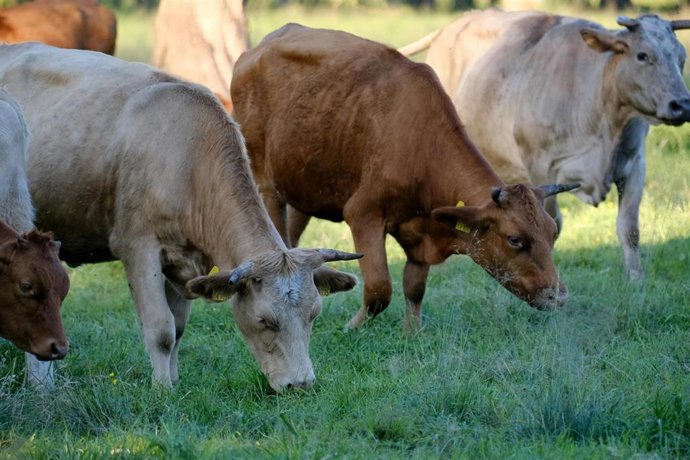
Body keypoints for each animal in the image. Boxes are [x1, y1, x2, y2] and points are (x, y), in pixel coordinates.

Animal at [0, 42, 361, 392]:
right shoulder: (137, 248)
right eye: (264, 320)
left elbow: (179, 329)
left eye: (313, 314)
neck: (186, 157)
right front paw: (162, 391)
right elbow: (161, 329)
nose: (301, 385)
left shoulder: (187, 263)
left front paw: (173, 382)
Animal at [231, 23, 578, 331]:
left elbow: (414, 287)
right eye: (515, 240)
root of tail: (257, 50)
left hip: (304, 186)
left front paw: (412, 332)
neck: (422, 145)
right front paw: (351, 327)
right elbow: (379, 290)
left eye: (552, 232)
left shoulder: (420, 234)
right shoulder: (363, 213)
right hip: (266, 183)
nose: (558, 296)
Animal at [399, 10, 690, 280]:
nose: (682, 104)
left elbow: (629, 228)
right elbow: (553, 224)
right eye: (643, 55)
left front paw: (636, 281)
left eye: (681, 57)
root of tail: (453, 26)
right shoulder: (542, 166)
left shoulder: (635, 163)